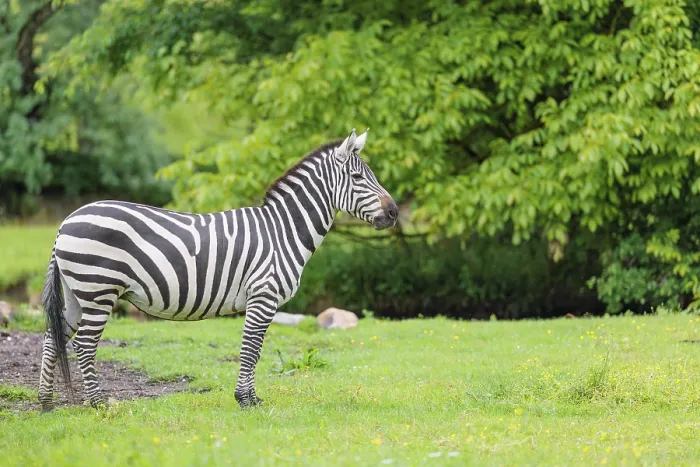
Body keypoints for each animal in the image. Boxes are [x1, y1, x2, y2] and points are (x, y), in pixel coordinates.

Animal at [39, 128, 398, 411]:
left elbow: (254, 350)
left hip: (78, 293)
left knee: (53, 337)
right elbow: (251, 350)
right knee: (84, 344)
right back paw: (99, 403)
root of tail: (66, 221)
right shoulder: (263, 296)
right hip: (99, 290)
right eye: (358, 178)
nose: (394, 212)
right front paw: (245, 400)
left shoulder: (260, 300)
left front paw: (250, 397)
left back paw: (46, 402)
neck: (282, 231)